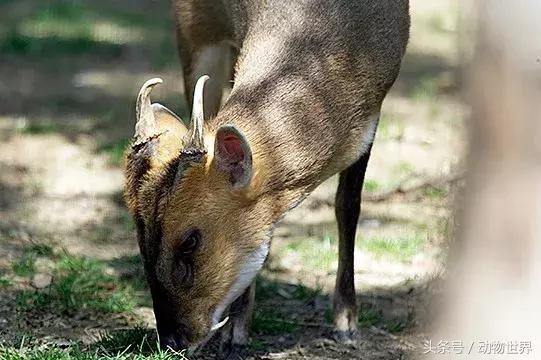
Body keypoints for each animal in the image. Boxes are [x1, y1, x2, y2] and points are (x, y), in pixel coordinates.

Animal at [124, 0, 408, 356]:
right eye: (141, 236)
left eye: (190, 241)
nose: (172, 340)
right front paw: (235, 334)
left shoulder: (374, 111)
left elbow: (348, 207)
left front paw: (346, 322)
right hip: (194, 33)